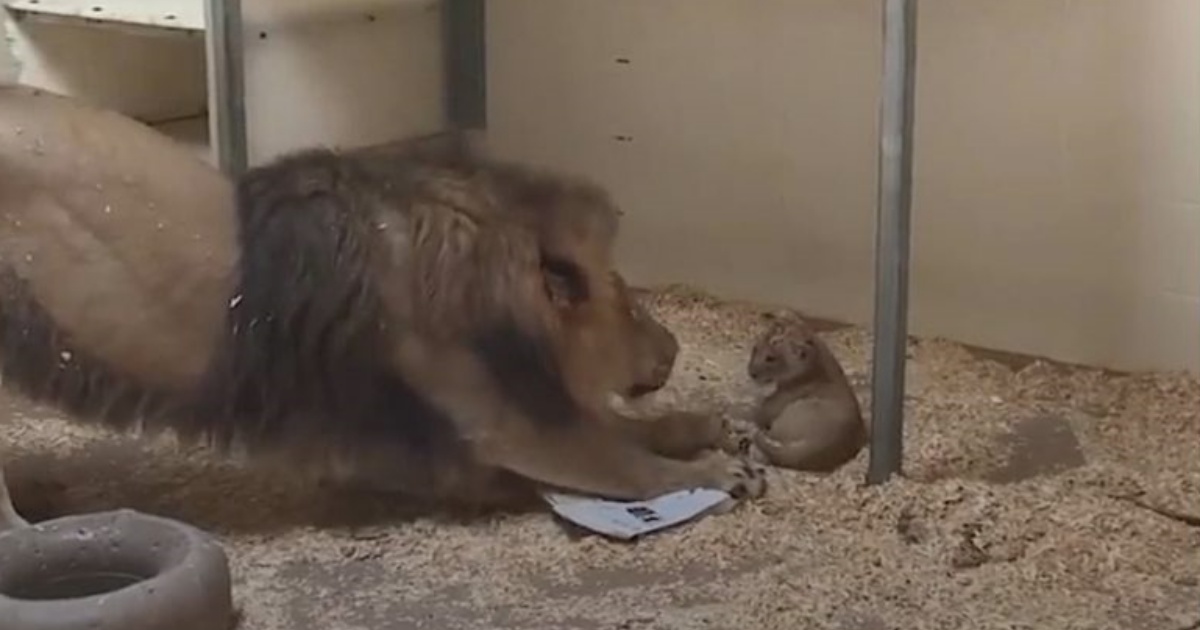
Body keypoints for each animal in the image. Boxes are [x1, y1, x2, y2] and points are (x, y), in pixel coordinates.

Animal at [0, 85, 768, 523]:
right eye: (631, 306)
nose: (674, 350)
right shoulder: (503, 424)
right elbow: (622, 462)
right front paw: (712, 472)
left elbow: (630, 429)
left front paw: (707, 427)